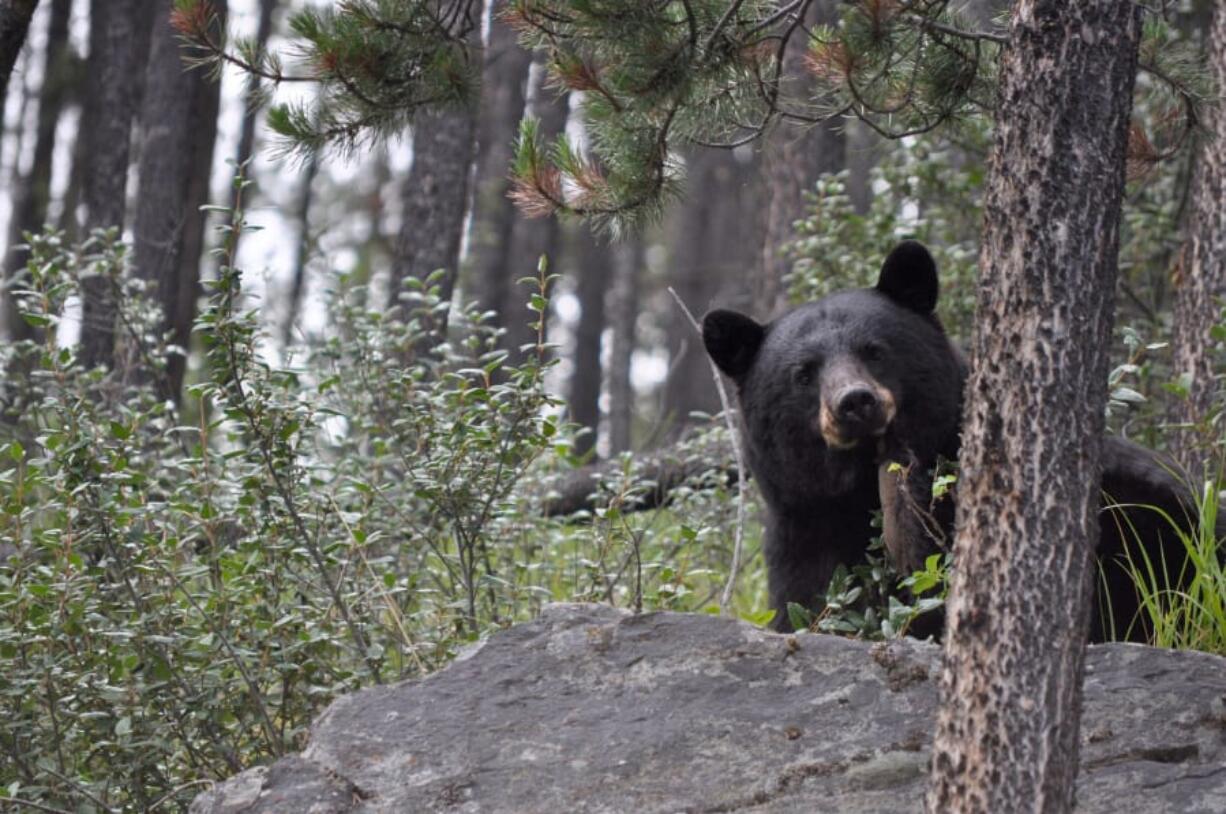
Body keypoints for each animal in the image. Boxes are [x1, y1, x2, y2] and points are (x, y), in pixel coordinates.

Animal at [711, 241, 1206, 642]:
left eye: (875, 350)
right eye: (803, 373)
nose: (854, 402)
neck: (857, 493)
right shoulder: (803, 530)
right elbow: (810, 598)